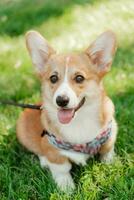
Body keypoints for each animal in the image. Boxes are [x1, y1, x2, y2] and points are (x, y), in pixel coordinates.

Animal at [16, 29, 117, 191]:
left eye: (79, 78)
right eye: (53, 78)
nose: (61, 100)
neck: (79, 121)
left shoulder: (110, 131)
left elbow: (107, 151)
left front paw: (111, 164)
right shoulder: (52, 148)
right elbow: (61, 168)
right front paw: (66, 188)